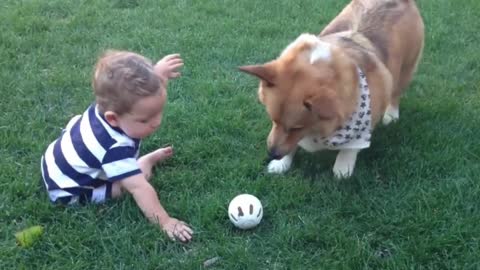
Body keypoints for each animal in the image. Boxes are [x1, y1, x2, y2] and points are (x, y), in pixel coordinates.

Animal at [240, 0, 424, 178]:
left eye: (296, 128)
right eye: (273, 120)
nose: (271, 154)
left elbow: (350, 150)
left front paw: (343, 168)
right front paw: (281, 164)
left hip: (405, 69)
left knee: (396, 92)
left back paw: (391, 115)